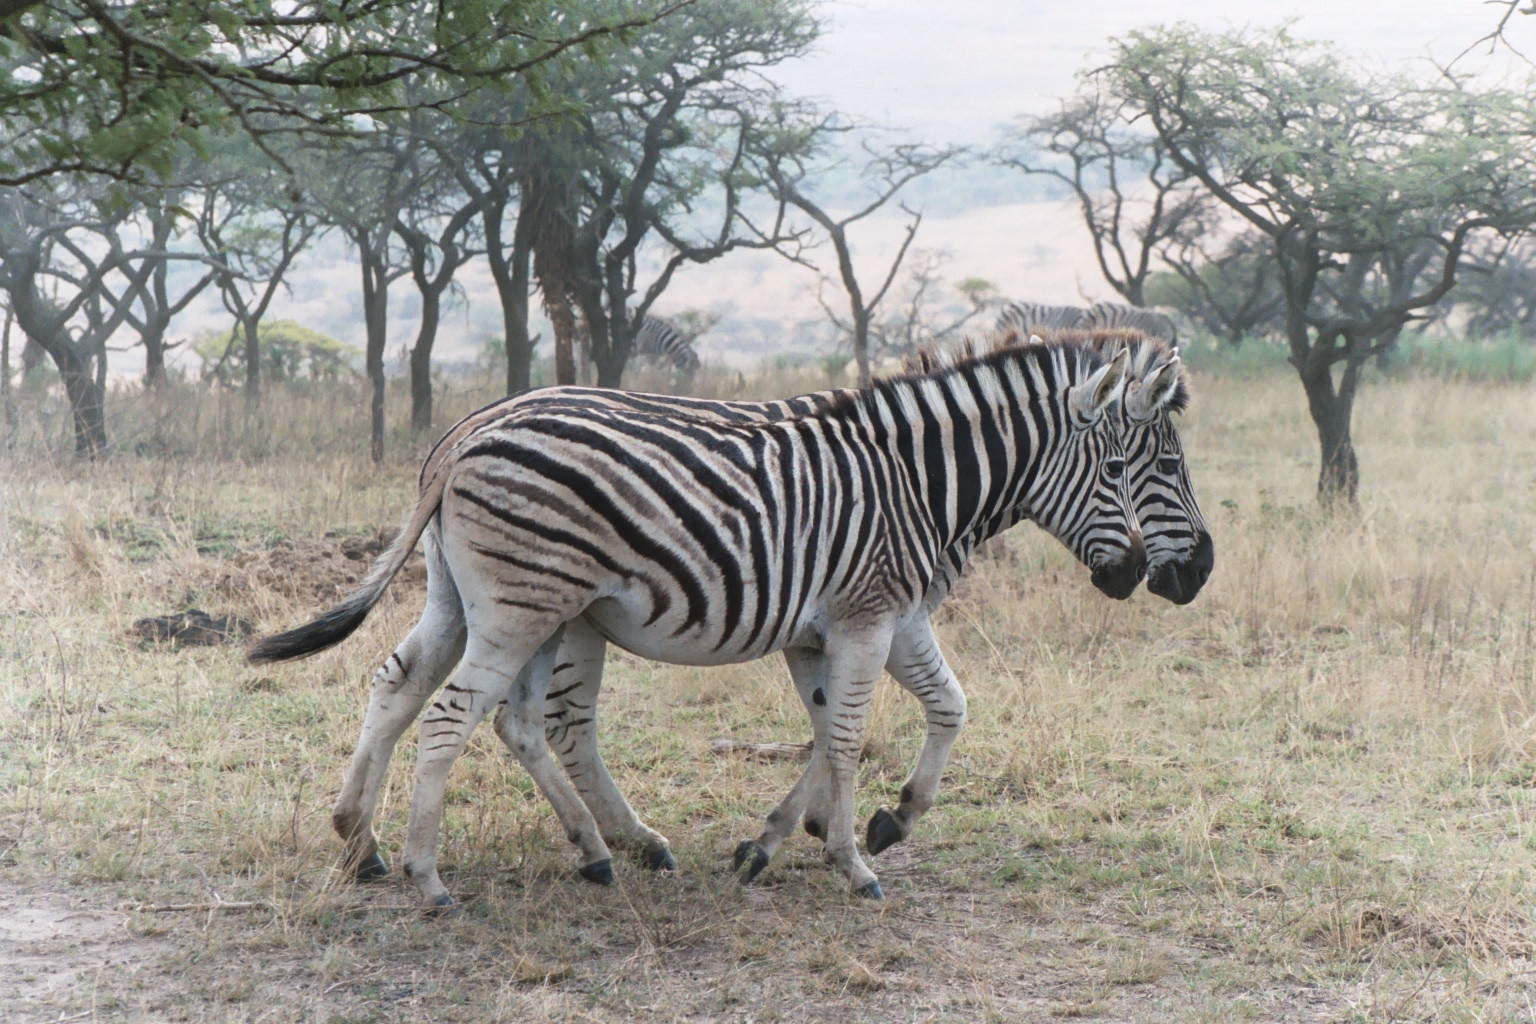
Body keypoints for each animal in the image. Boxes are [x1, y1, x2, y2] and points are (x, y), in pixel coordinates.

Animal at [250, 334, 1148, 907]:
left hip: (478, 600)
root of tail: (461, 440)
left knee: (417, 690)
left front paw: (831, 831)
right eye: (1120, 469)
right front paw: (854, 859)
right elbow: (850, 735)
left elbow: (916, 711)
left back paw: (373, 842)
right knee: (458, 716)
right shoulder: (867, 616)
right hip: (520, 606)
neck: (913, 482)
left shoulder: (850, 623)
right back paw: (429, 875)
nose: (1144, 573)